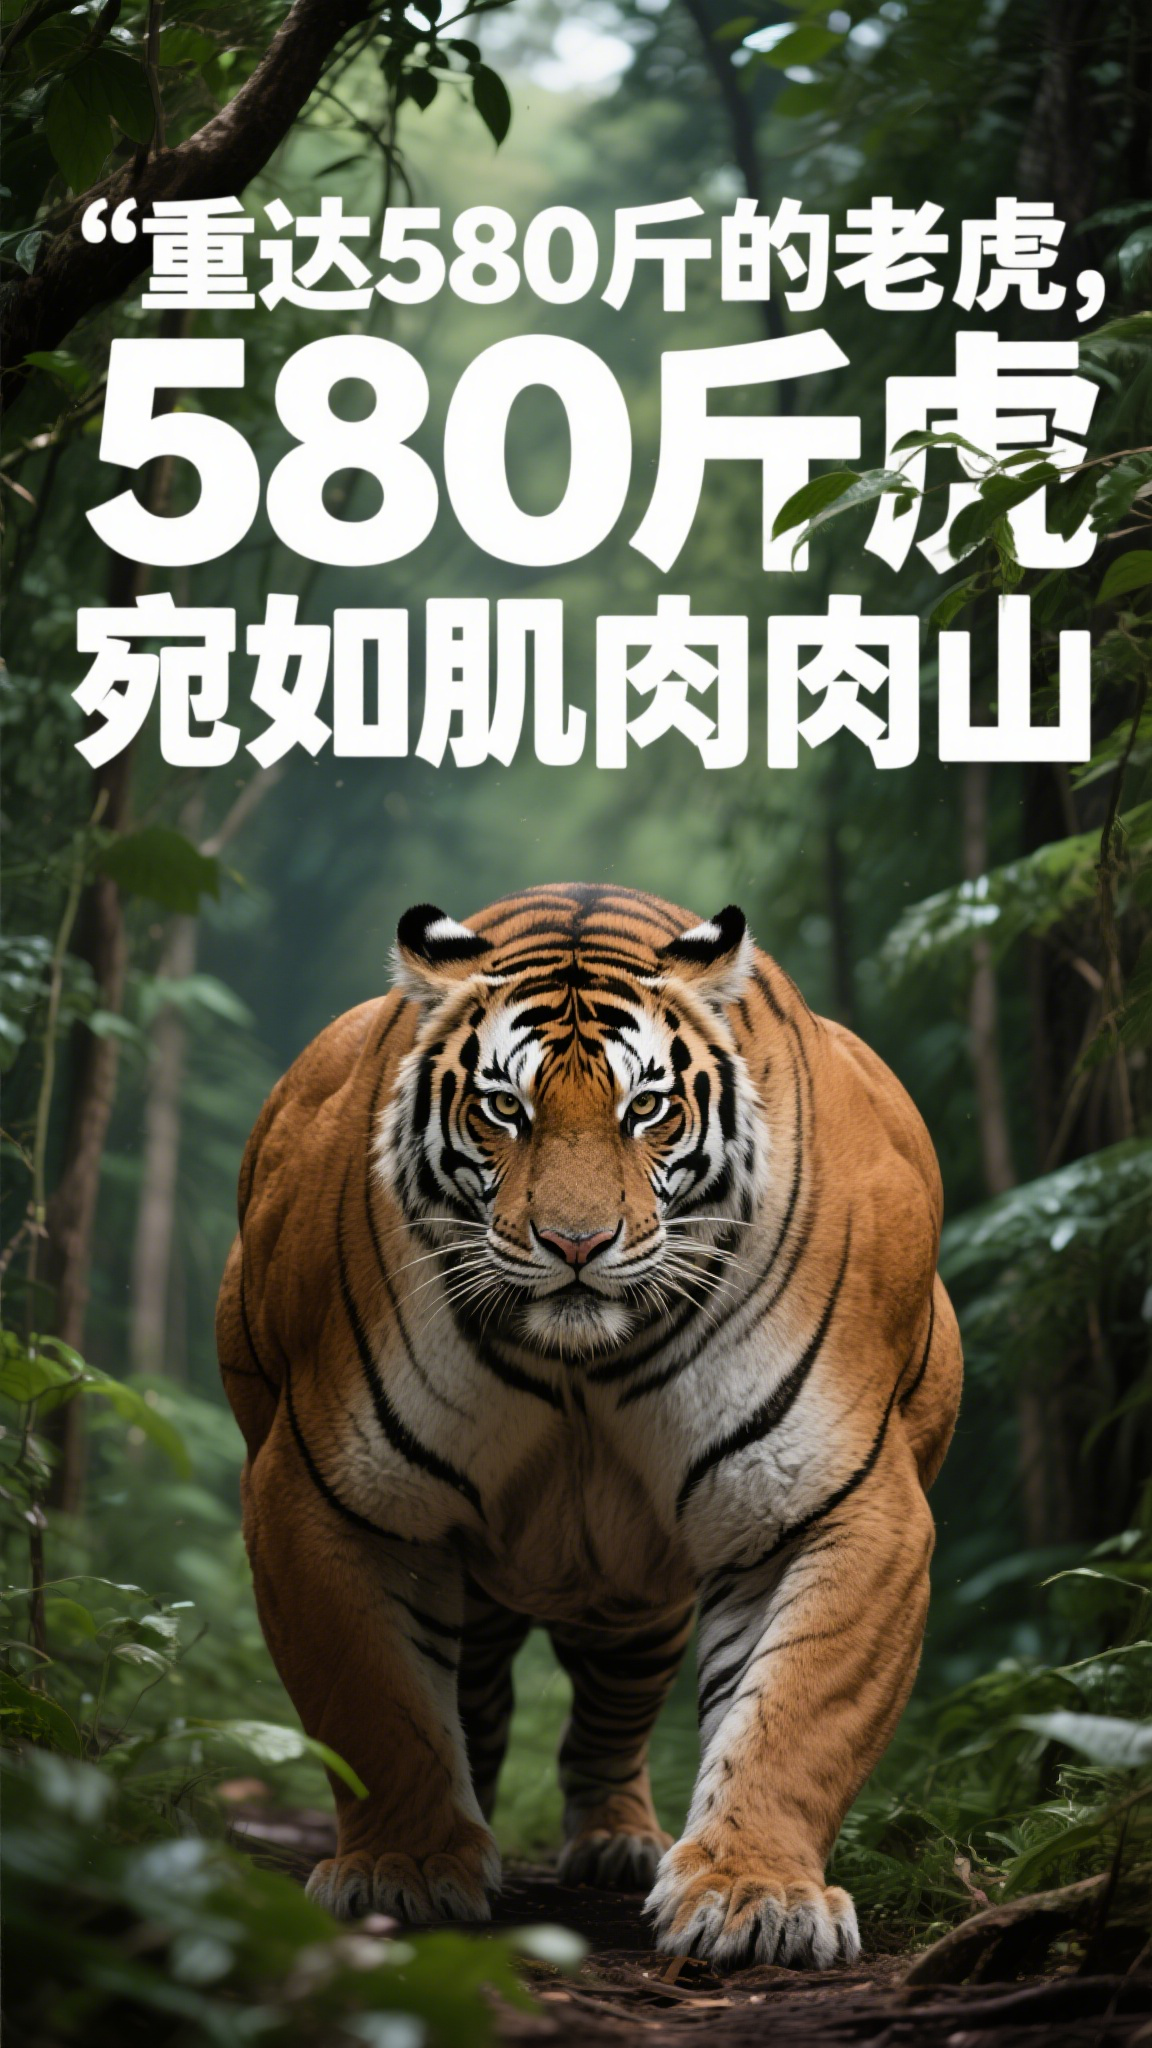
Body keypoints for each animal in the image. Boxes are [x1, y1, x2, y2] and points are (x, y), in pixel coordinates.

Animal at [217, 883, 962, 1971]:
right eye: (504, 1108)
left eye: (645, 1107)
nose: (575, 1244)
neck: (580, 1364)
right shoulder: (329, 1497)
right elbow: (375, 1704)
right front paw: (405, 1869)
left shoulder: (832, 1498)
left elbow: (797, 1712)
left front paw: (753, 1895)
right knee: (475, 1702)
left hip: (634, 1603)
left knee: (608, 1719)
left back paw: (616, 1842)